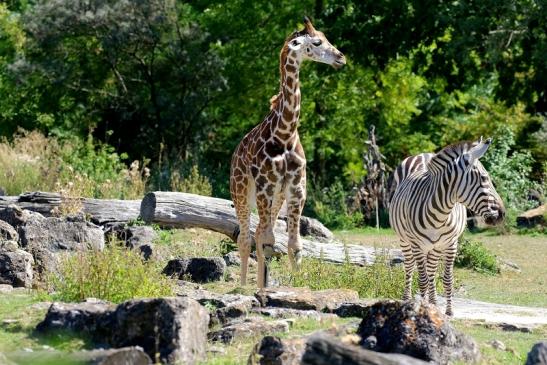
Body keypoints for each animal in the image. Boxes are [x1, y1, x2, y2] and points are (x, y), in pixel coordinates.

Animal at [229, 17, 344, 288]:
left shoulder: (296, 190)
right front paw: (261, 288)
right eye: (317, 42)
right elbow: (269, 241)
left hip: (275, 199)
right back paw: (243, 285)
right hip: (241, 193)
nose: (341, 58)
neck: (283, 135)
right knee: (246, 238)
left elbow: (294, 244)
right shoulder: (265, 187)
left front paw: (297, 285)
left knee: (259, 234)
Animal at [390, 138, 506, 314]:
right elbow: (422, 279)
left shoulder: (451, 244)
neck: (440, 215)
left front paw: (448, 311)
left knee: (431, 272)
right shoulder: (417, 245)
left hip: (435, 247)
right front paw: (421, 309)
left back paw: (433, 303)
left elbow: (447, 278)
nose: (502, 214)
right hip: (405, 240)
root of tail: (423, 154)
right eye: (484, 178)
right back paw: (408, 299)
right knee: (409, 268)